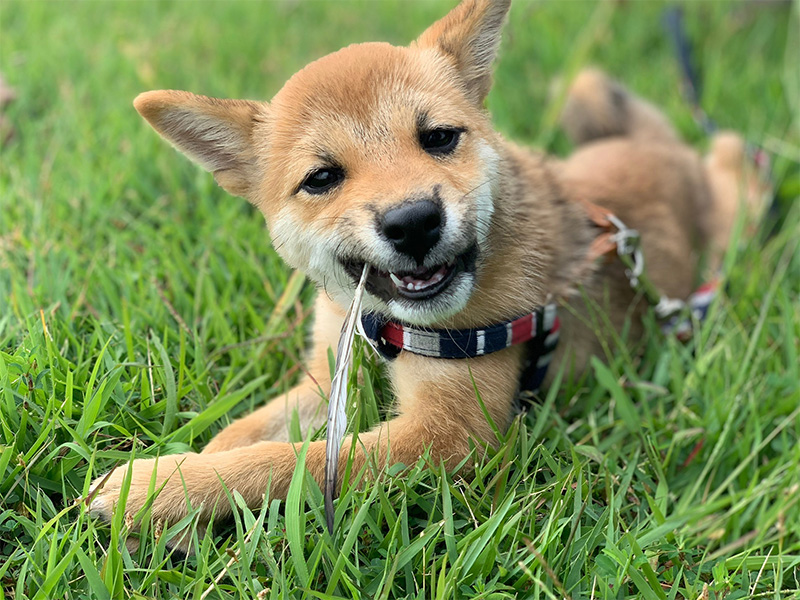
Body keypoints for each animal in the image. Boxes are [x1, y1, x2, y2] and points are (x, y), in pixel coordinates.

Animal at [90, 0, 760, 544]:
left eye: (438, 137)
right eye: (322, 177)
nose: (413, 221)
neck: (381, 324)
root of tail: (663, 151)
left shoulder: (450, 431)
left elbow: (287, 462)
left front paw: (157, 489)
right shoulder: (325, 378)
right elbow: (247, 433)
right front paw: (188, 478)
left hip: (733, 222)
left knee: (737, 169)